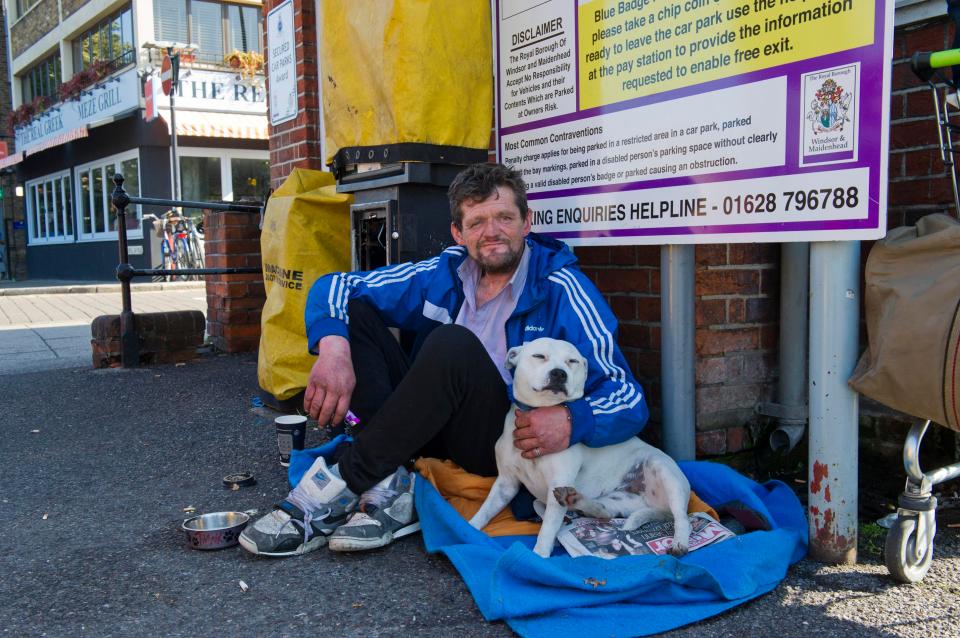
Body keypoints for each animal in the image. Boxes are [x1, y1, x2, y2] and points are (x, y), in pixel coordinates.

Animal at [470, 338, 688, 556]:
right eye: (539, 356)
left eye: (572, 361)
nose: (559, 373)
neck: (539, 411)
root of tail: (659, 506)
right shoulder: (506, 483)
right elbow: (485, 511)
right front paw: (470, 528)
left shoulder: (557, 481)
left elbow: (547, 528)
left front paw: (539, 554)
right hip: (618, 499)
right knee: (604, 512)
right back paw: (576, 501)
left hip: (664, 472)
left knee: (682, 518)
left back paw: (680, 542)